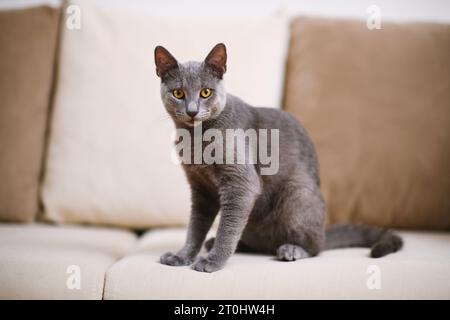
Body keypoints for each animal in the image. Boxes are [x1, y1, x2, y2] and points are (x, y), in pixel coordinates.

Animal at [154, 42, 400, 272]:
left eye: (206, 92)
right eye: (178, 93)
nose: (192, 111)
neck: (196, 140)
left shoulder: (241, 183)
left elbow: (227, 226)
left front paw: (212, 261)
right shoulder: (200, 188)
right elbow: (195, 227)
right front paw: (182, 256)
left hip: (297, 195)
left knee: (316, 247)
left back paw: (291, 249)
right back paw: (222, 243)